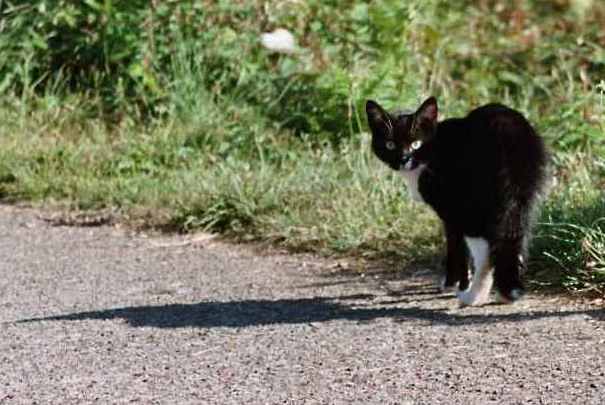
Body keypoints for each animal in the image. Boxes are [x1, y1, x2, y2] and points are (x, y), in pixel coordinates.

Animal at [364, 98, 548, 304]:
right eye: (390, 144)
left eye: (416, 144)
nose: (403, 159)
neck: (434, 149)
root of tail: (509, 137)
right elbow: (457, 244)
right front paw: (456, 282)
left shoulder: (450, 208)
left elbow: (456, 247)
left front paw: (456, 284)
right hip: (525, 195)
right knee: (513, 235)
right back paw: (506, 290)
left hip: (473, 205)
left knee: (485, 250)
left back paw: (474, 296)